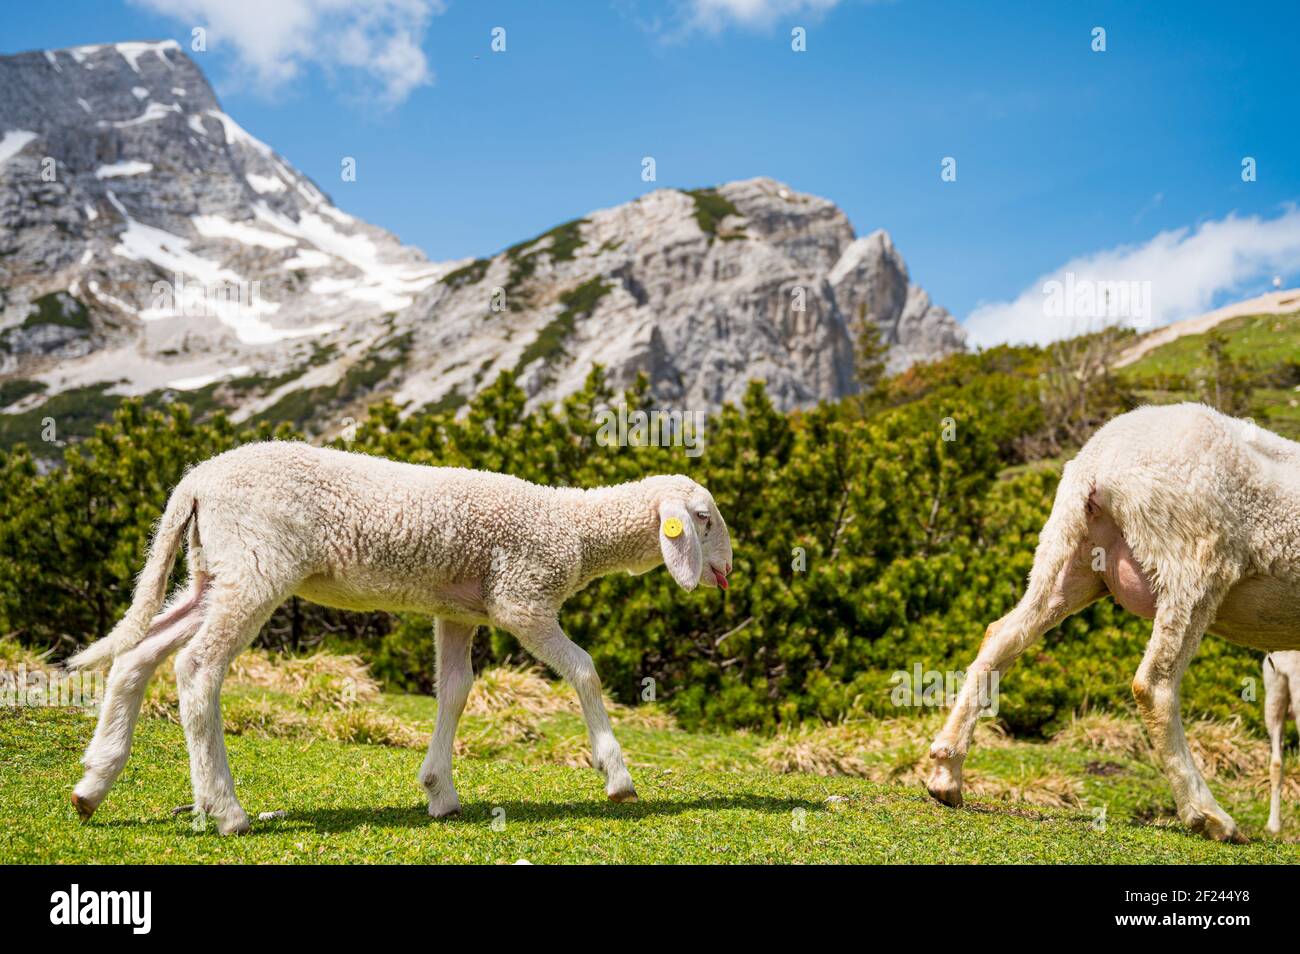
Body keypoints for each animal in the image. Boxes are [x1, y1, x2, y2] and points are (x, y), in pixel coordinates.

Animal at [63, 441, 733, 835]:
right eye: (703, 519)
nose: (727, 569)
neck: (570, 527)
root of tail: (194, 483)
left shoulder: (459, 610)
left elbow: (455, 690)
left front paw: (440, 790)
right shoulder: (521, 598)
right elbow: (585, 669)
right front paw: (615, 774)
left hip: (214, 570)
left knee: (138, 654)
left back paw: (94, 783)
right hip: (257, 565)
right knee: (197, 668)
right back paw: (225, 811)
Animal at [926, 403, 1300, 843]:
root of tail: (1099, 460)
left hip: (1074, 554)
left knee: (1001, 636)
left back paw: (946, 773)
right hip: (1195, 560)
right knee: (1153, 685)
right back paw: (1208, 816)